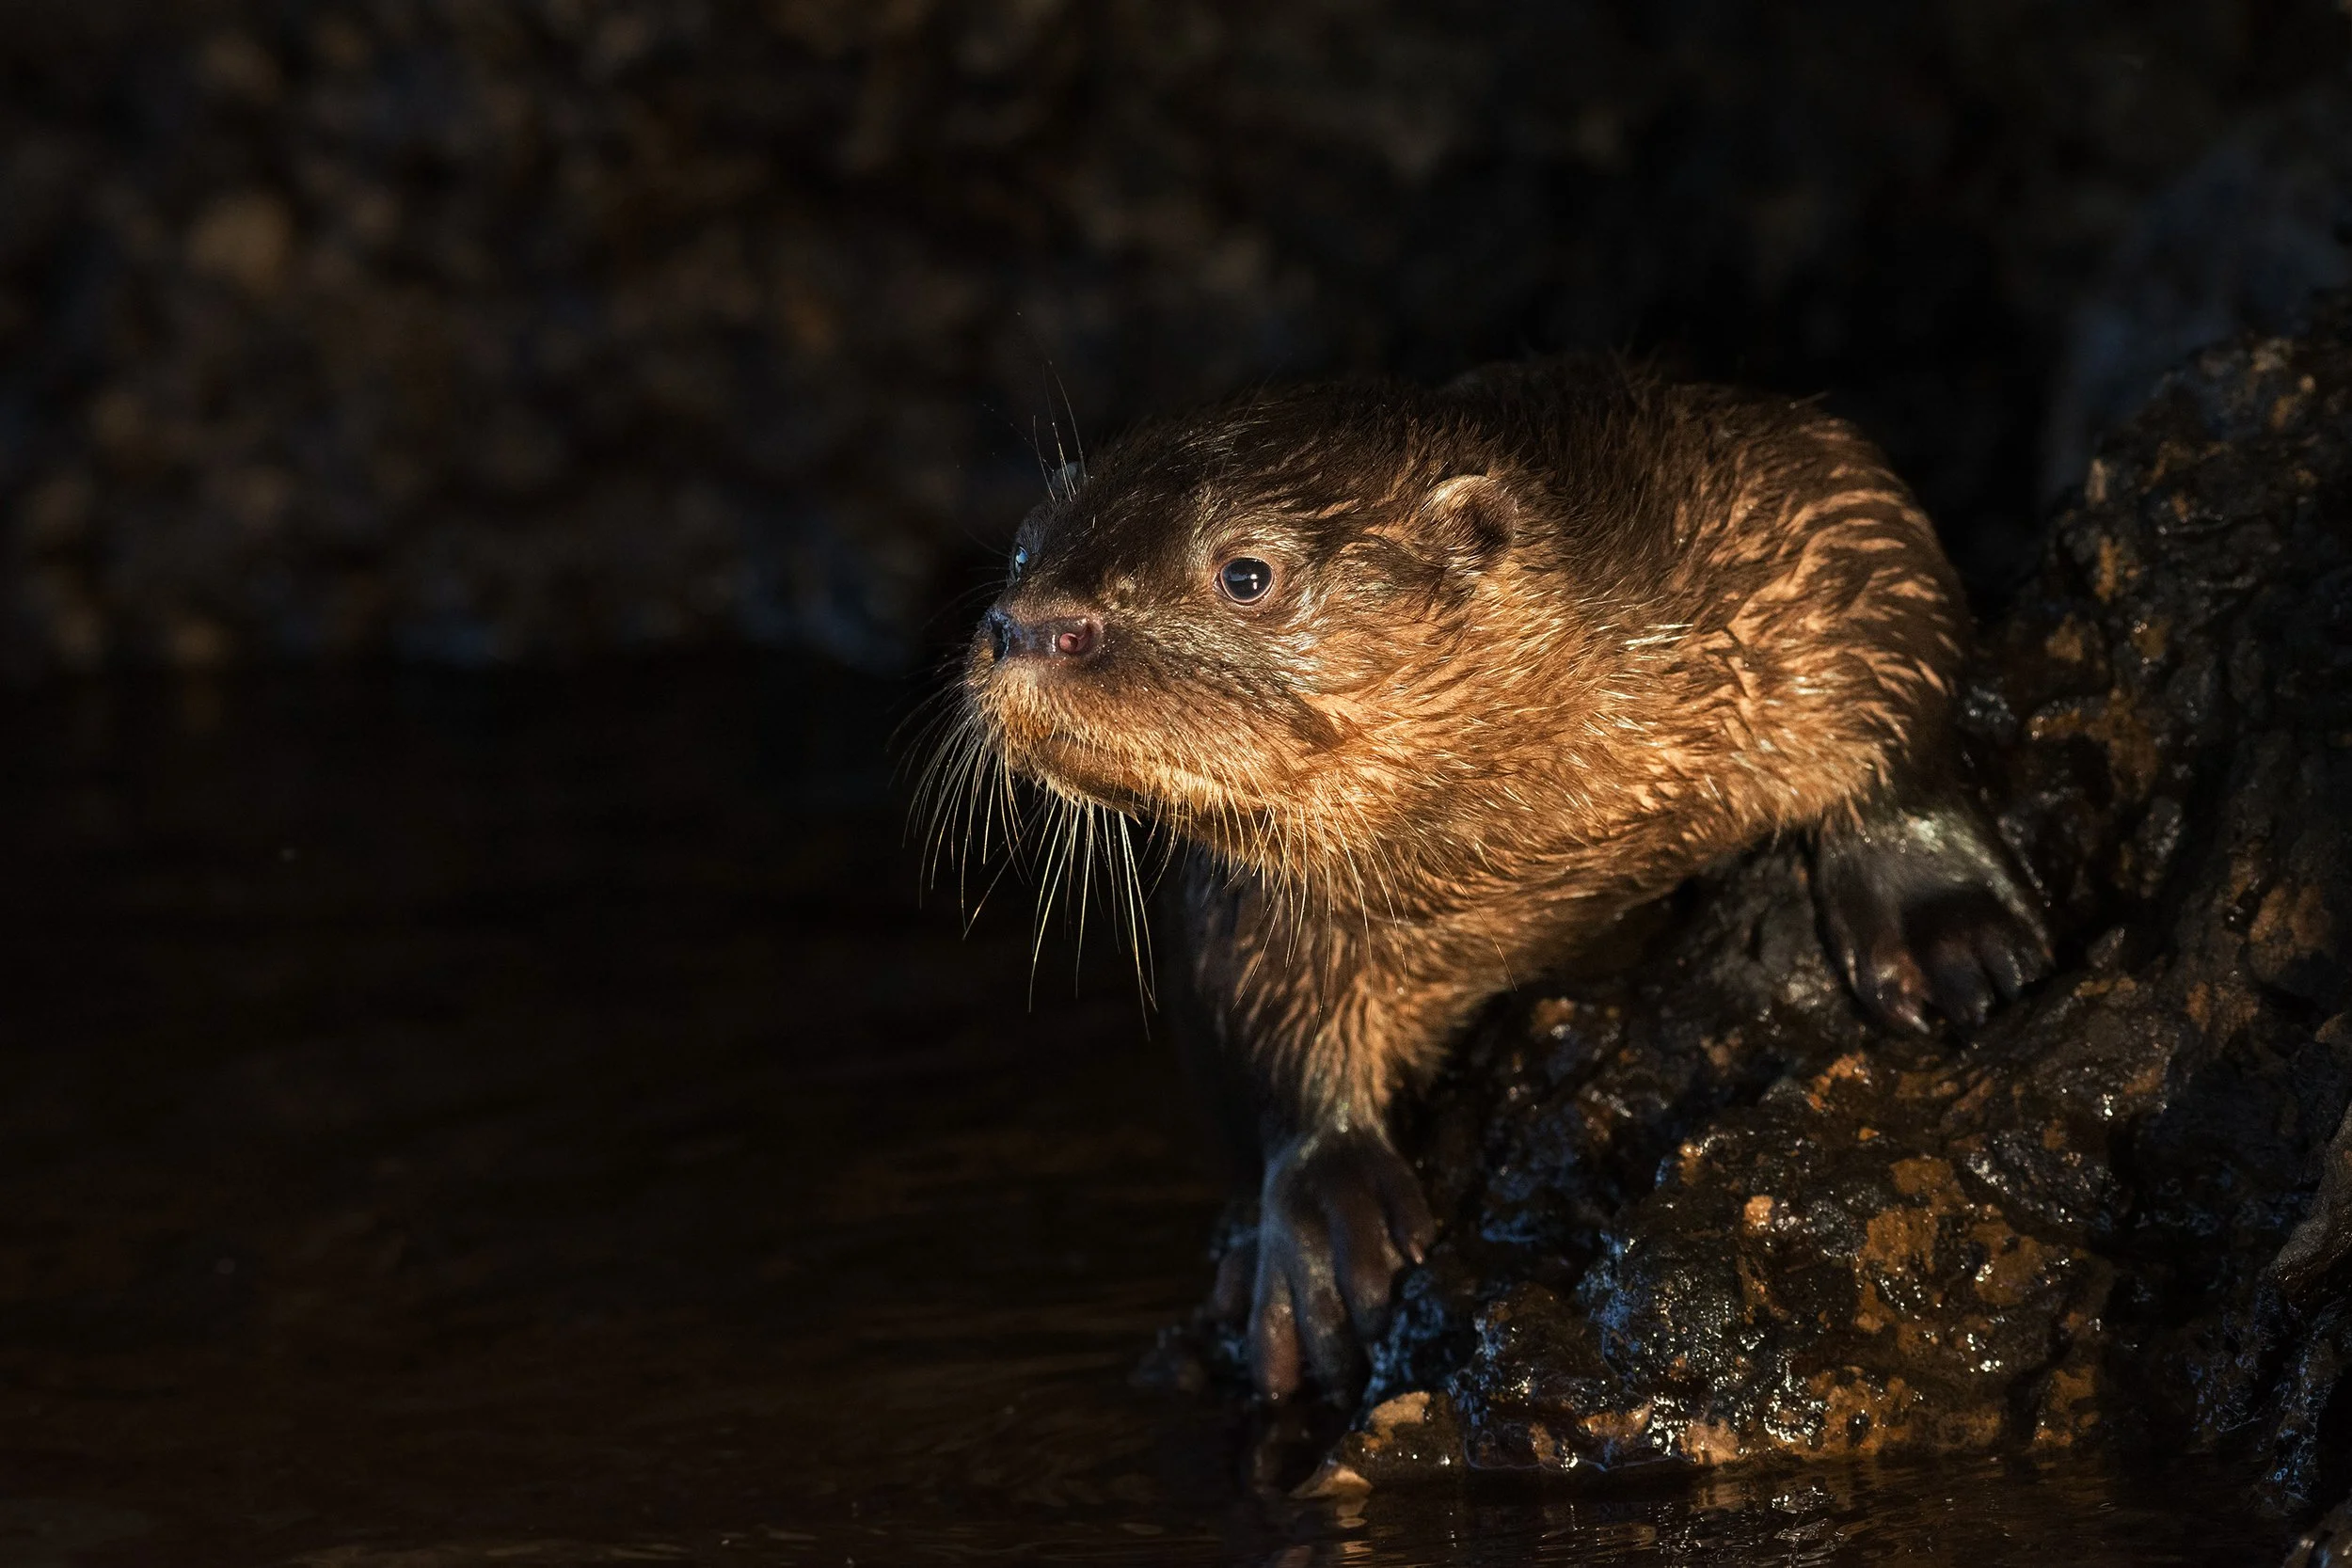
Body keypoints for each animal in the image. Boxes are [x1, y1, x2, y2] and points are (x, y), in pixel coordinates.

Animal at [948, 355, 2050, 1402]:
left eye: (1246, 572)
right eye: (1022, 548)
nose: (1031, 623)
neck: (1554, 819)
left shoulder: (1793, 500)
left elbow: (1894, 641)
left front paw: (1944, 921)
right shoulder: (1248, 901)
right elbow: (1260, 1011)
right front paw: (1321, 1218)